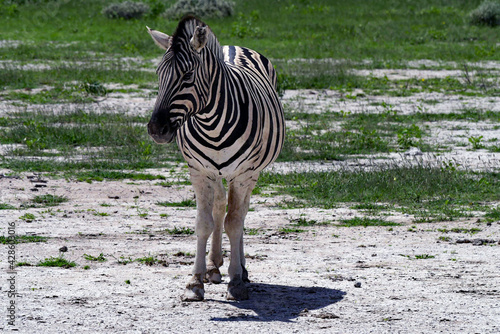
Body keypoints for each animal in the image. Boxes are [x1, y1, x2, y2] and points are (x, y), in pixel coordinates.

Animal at [146, 17, 284, 302]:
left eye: (187, 75)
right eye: (158, 75)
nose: (156, 129)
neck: (212, 123)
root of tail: (233, 46)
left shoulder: (243, 174)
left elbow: (235, 222)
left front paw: (237, 282)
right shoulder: (199, 171)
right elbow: (203, 223)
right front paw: (195, 281)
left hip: (250, 173)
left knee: (240, 214)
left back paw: (240, 269)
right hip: (217, 173)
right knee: (221, 206)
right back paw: (214, 265)